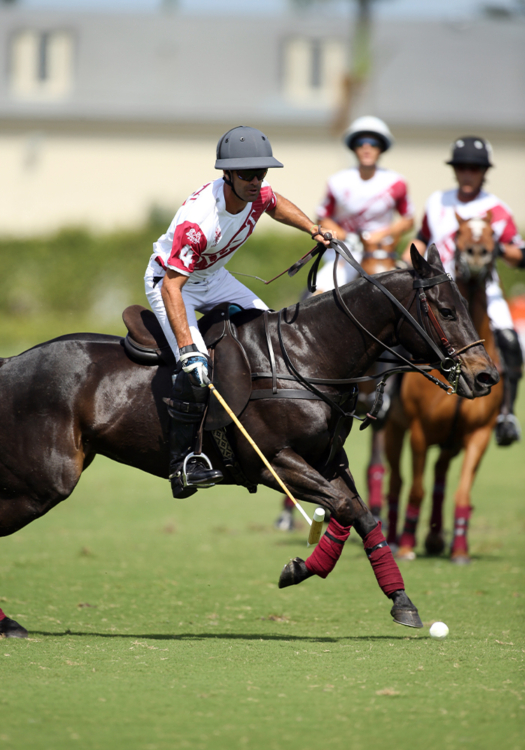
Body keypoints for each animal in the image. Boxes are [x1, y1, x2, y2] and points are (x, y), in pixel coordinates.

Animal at [0, 247, 496, 640]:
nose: (486, 376)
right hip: (45, 481)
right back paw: (8, 624)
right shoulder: (272, 461)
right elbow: (345, 508)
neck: (306, 357)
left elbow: (359, 514)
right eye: (447, 311)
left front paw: (398, 601)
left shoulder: (329, 460)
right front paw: (302, 569)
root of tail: (12, 362)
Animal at [384, 212, 504, 564]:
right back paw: (395, 535)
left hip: (450, 443)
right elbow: (415, 489)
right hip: (393, 430)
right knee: (396, 481)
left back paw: (437, 538)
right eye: (447, 311)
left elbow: (461, 491)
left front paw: (459, 549)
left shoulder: (479, 435)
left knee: (439, 475)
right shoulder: (419, 431)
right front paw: (407, 544)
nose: (485, 377)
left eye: (493, 236)